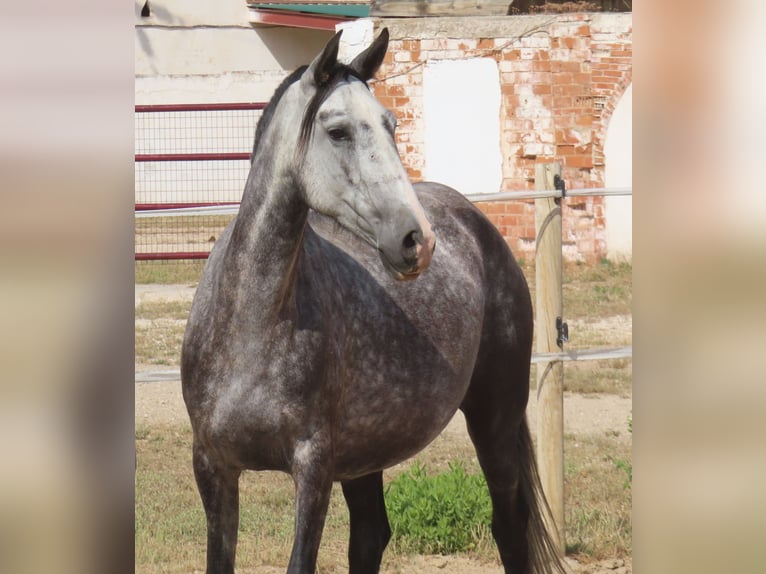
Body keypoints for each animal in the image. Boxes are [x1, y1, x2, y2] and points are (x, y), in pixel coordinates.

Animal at [182, 30, 564, 574]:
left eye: (391, 124)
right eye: (338, 131)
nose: (417, 240)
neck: (250, 327)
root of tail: (476, 223)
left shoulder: (313, 469)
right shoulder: (213, 468)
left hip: (495, 418)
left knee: (508, 526)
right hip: (366, 453)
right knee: (370, 534)